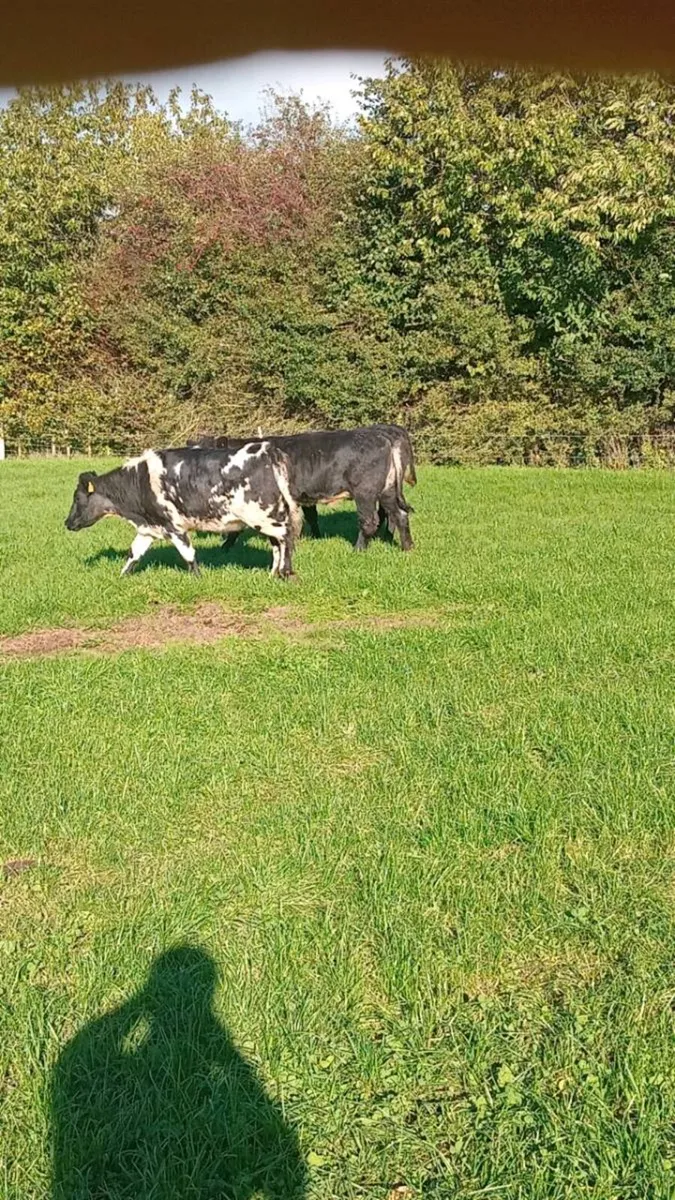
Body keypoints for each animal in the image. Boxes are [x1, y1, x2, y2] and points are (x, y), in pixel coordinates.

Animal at [64, 444, 303, 578]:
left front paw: (198, 578)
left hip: (265, 516)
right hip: (266, 517)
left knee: (286, 537)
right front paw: (121, 577)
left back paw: (286, 573)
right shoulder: (149, 528)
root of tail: (266, 450)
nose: (67, 523)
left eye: (77, 498)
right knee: (277, 544)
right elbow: (134, 554)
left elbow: (188, 554)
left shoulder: (174, 527)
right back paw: (273, 574)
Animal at [188, 425, 416, 552]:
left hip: (365, 492)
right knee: (399, 515)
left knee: (370, 521)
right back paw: (407, 548)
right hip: (387, 490)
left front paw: (224, 548)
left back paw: (358, 549)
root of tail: (383, 436)